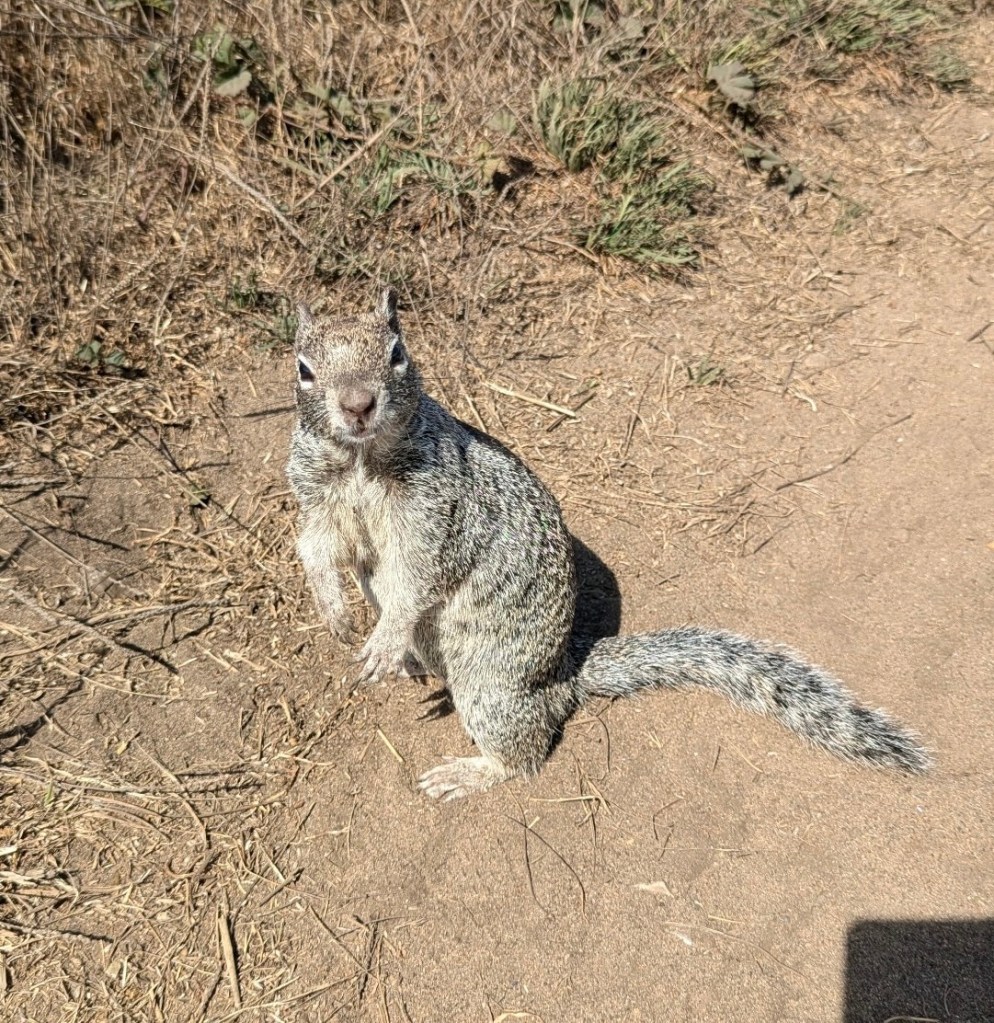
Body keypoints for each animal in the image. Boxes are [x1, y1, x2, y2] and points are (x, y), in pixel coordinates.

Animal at [287, 289, 930, 800]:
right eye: (303, 368)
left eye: (398, 353)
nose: (358, 405)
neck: (363, 460)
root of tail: (562, 676)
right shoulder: (315, 499)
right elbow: (316, 549)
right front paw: (334, 611)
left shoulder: (438, 513)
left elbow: (418, 576)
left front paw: (382, 639)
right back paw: (412, 666)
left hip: (490, 687)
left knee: (526, 752)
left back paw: (468, 769)